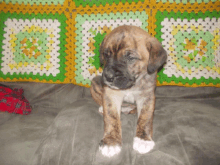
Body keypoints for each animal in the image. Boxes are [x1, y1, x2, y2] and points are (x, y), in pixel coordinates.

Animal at [90, 25, 167, 157]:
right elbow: (111, 117)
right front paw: (111, 142)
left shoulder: (147, 96)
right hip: (95, 82)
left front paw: (143, 139)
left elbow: (145, 117)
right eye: (106, 54)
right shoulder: (111, 93)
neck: (132, 84)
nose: (108, 76)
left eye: (130, 58)